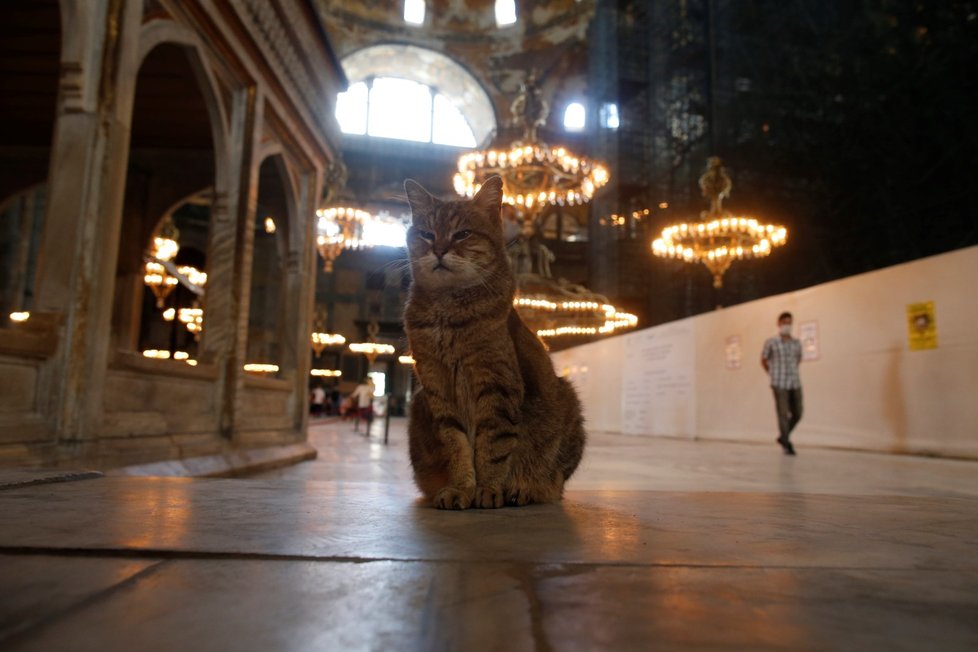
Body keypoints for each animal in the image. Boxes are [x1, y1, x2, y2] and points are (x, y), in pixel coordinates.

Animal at [402, 174, 584, 510]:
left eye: (462, 234)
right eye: (426, 234)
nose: (439, 250)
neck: (447, 313)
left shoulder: (497, 385)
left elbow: (493, 445)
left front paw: (488, 489)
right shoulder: (437, 387)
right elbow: (456, 445)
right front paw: (461, 488)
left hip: (567, 404)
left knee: (554, 484)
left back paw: (526, 489)